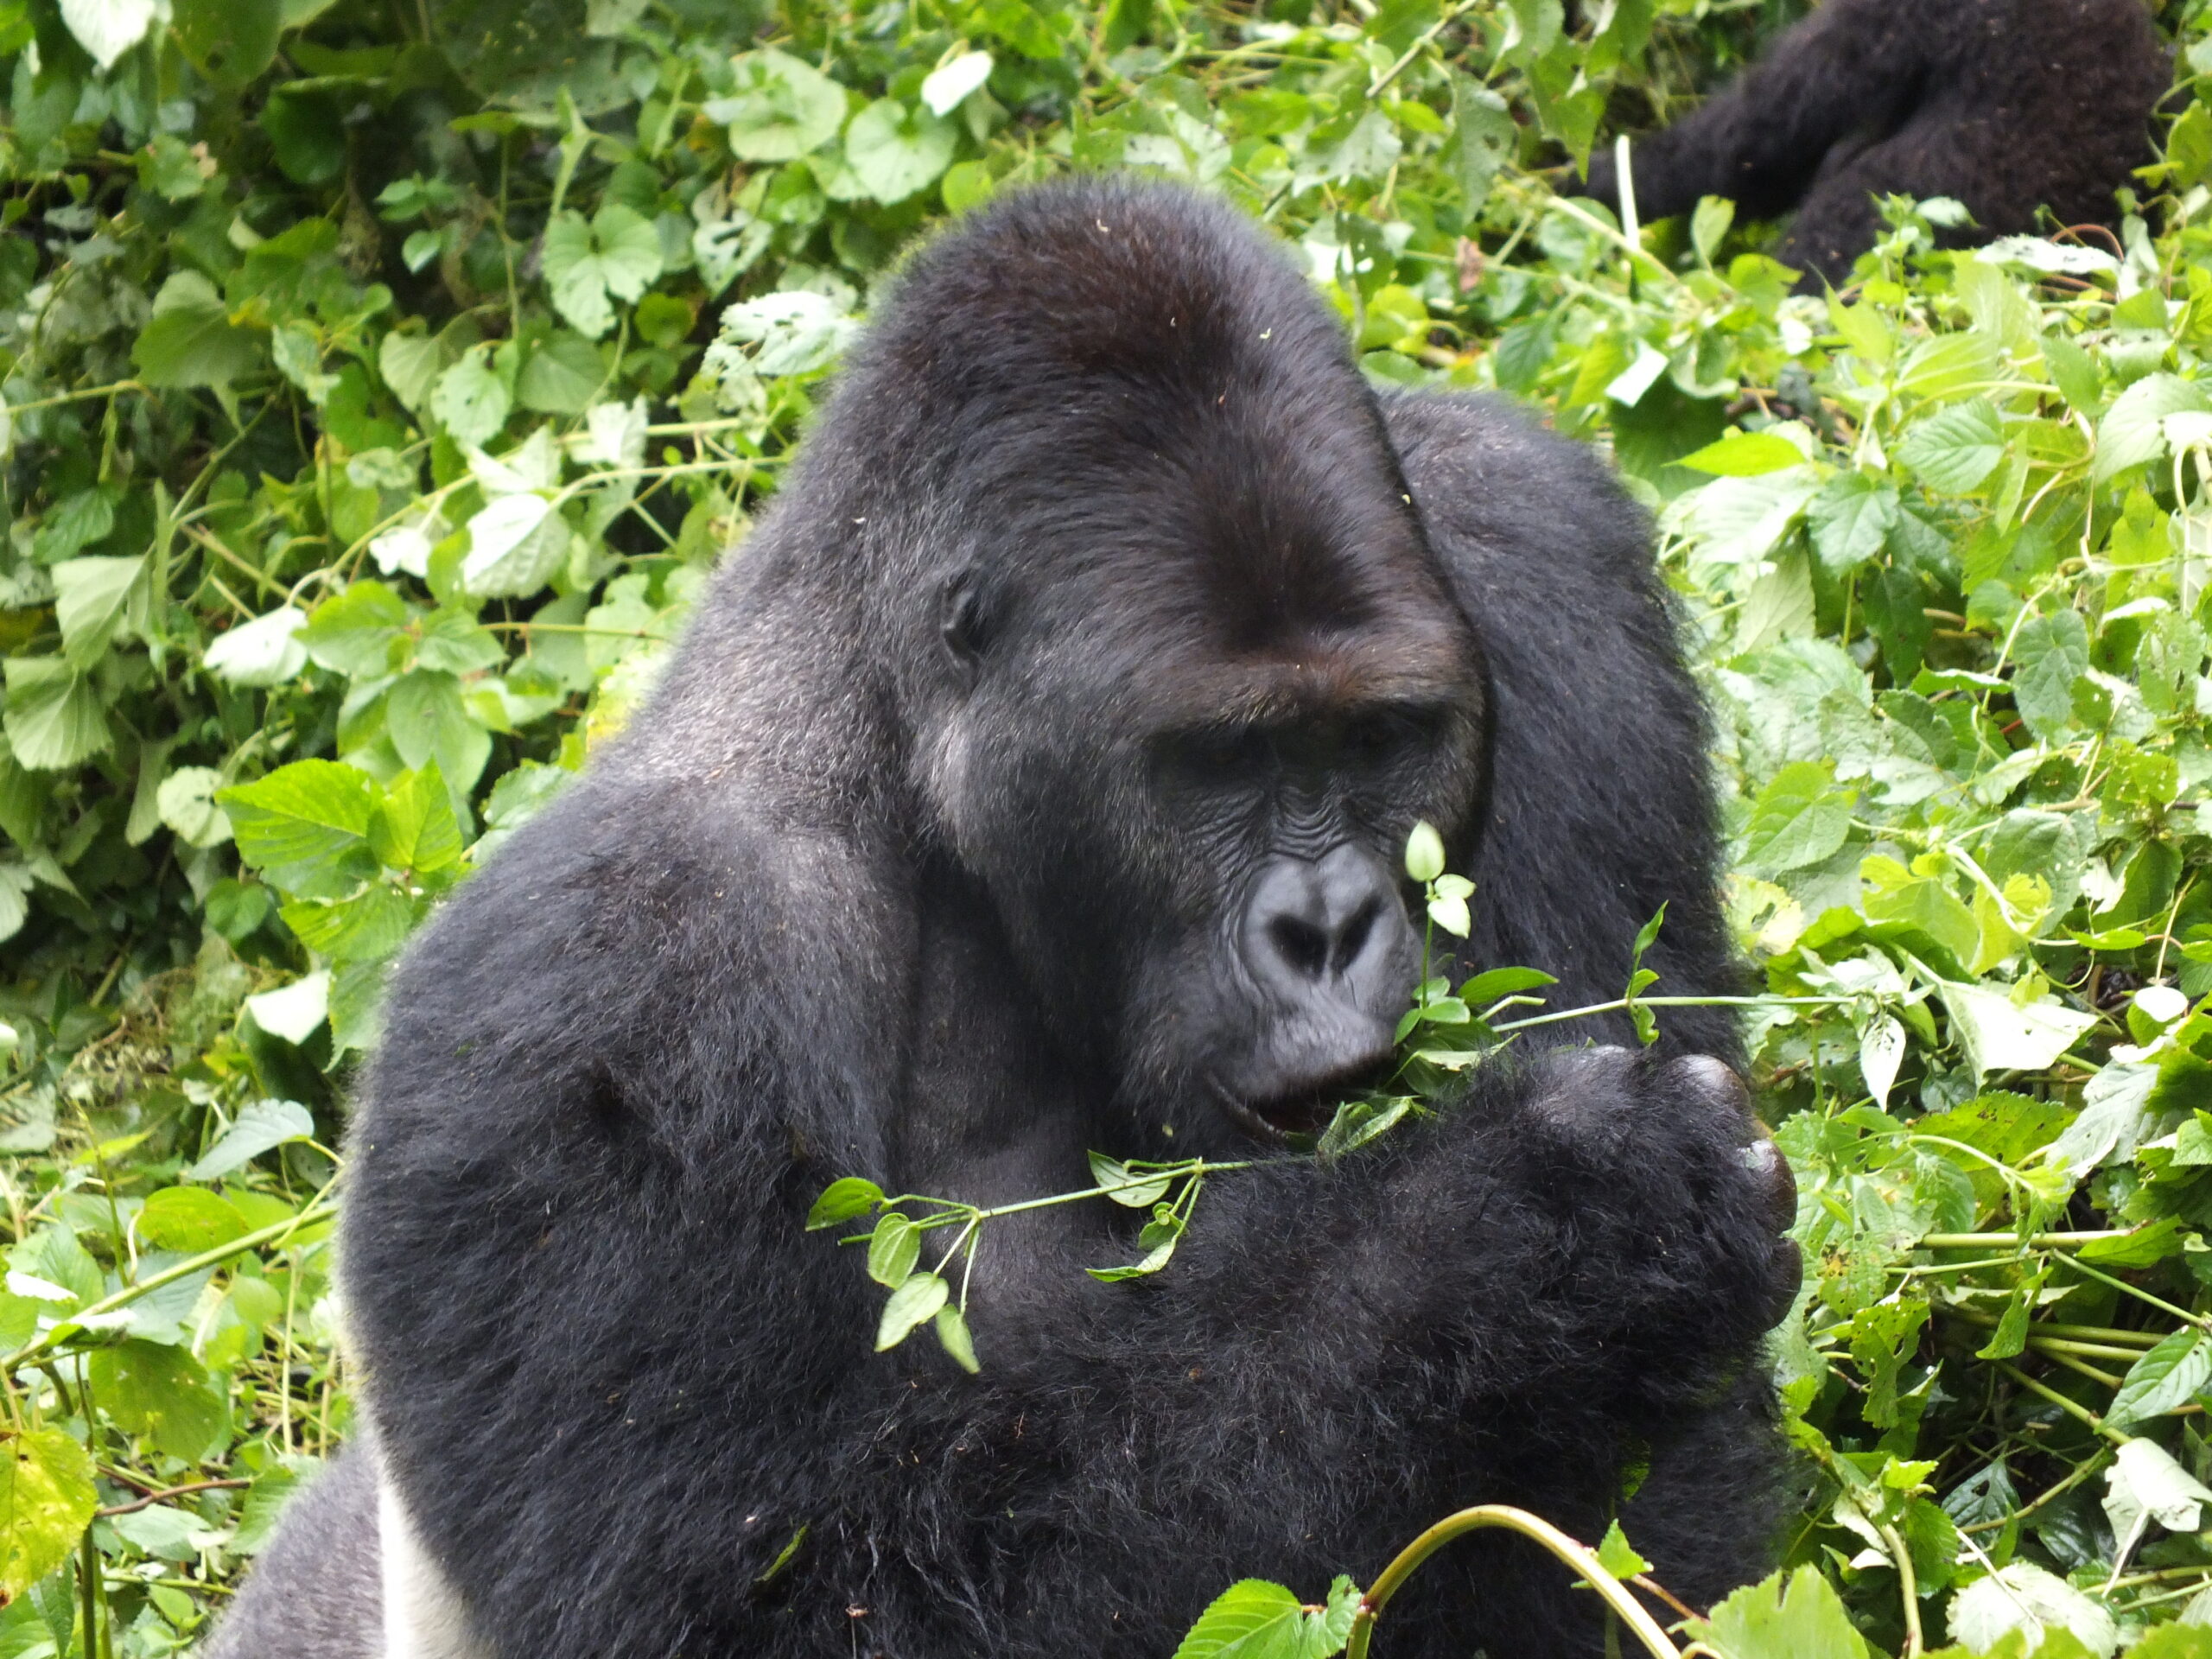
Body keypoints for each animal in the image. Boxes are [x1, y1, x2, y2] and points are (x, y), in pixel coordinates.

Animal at [203, 181, 1796, 1659]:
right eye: (1218, 763)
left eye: (1380, 739)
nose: (1330, 926)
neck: (903, 750)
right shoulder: (612, 967)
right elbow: (770, 1599)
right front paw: (1535, 1244)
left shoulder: (1536, 544)